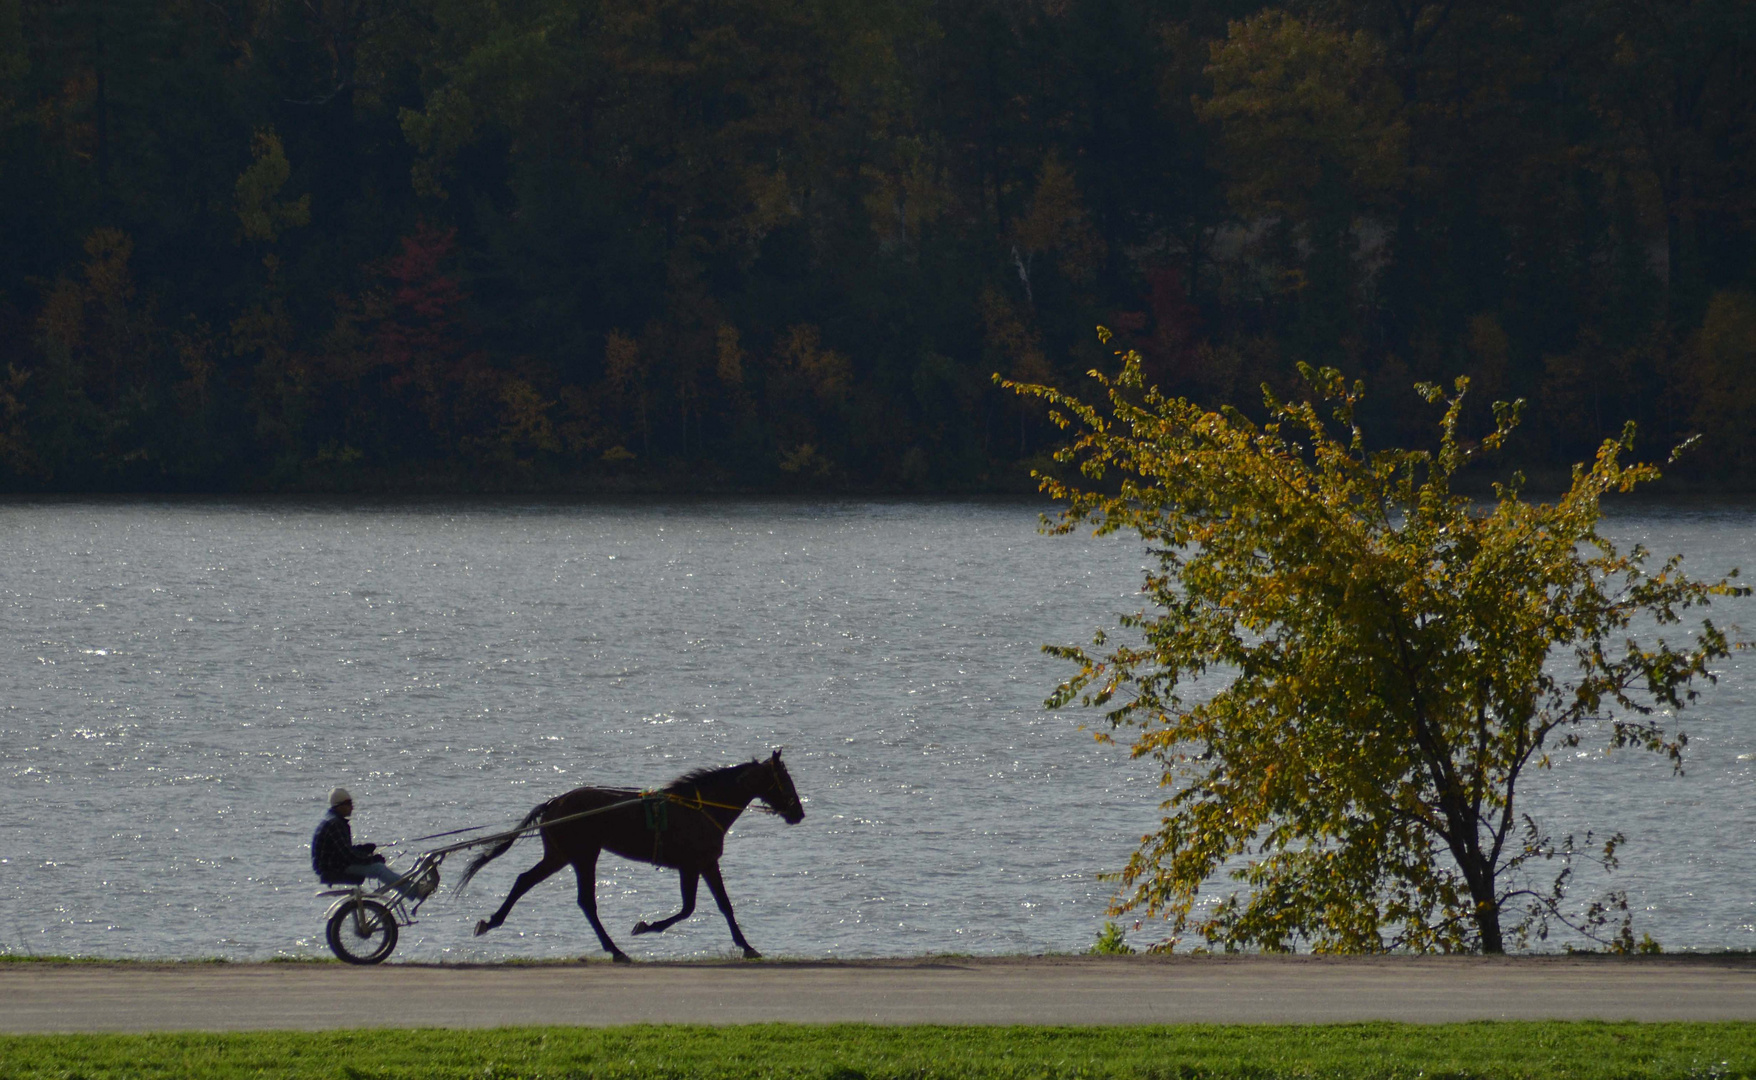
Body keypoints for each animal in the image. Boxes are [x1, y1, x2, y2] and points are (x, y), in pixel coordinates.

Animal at [456, 751, 804, 962]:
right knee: (584, 900)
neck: (701, 807)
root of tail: (554, 803)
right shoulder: (697, 863)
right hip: (582, 854)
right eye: (785, 780)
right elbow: (697, 908)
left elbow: (712, 906)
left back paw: (491, 921)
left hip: (561, 855)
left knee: (525, 881)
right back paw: (615, 949)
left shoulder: (699, 864)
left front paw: (746, 946)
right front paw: (646, 926)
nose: (798, 813)